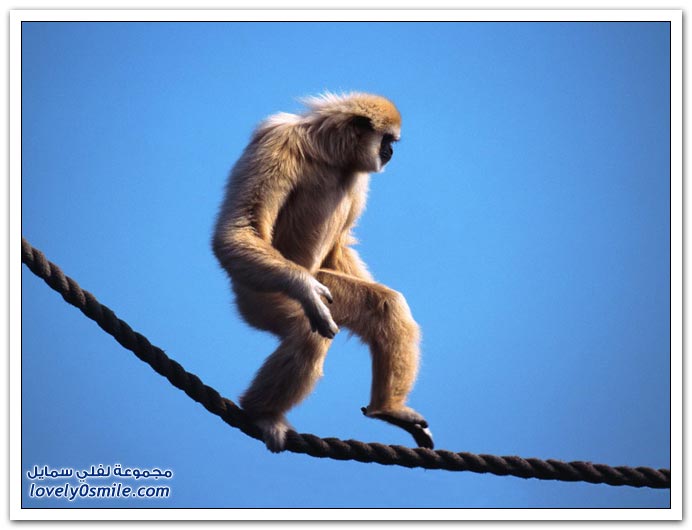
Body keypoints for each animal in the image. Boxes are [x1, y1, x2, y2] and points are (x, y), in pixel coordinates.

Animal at [212, 92, 433, 452]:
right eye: (387, 140)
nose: (390, 152)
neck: (327, 153)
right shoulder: (276, 140)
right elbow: (237, 230)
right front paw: (305, 289)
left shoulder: (357, 176)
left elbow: (339, 246)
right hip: (259, 291)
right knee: (308, 333)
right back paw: (261, 413)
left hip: (317, 283)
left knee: (386, 306)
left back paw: (387, 409)